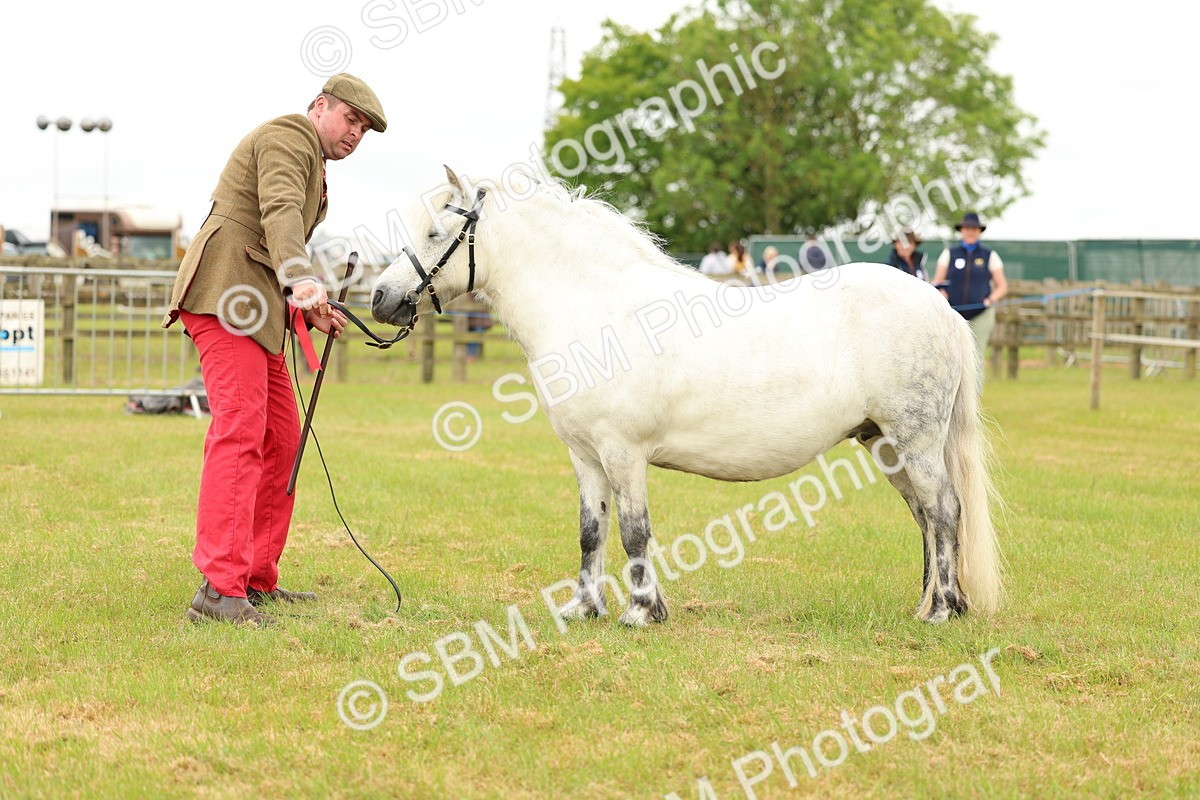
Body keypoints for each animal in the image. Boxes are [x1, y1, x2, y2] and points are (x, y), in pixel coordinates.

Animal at [371, 167, 1002, 626]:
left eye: (434, 233)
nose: (380, 298)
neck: (595, 309)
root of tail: (939, 305)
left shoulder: (623, 453)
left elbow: (634, 530)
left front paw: (641, 613)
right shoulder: (585, 456)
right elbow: (592, 530)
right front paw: (583, 609)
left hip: (916, 440)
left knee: (944, 511)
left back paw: (942, 612)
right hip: (885, 444)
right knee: (924, 517)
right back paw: (928, 604)